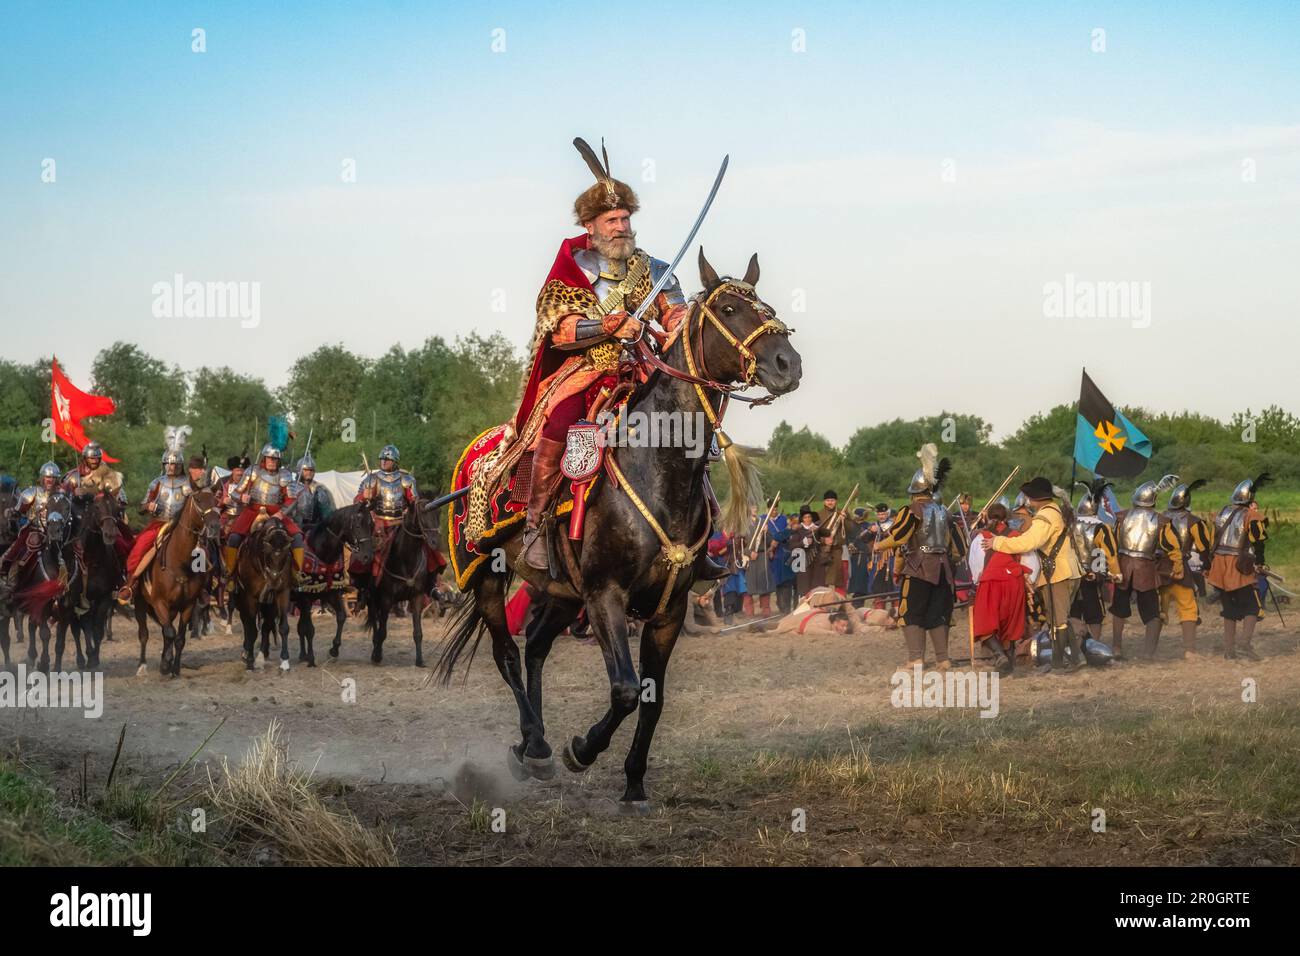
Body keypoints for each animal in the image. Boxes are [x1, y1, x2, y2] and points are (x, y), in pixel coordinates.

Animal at [133, 494, 219, 681]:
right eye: (199, 501)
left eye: (216, 501)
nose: (214, 526)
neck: (180, 563)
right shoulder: (159, 603)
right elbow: (170, 633)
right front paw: (166, 665)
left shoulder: (188, 605)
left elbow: (178, 638)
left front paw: (174, 668)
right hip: (140, 604)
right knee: (144, 634)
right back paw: (142, 665)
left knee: (166, 633)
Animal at [235, 515, 296, 671]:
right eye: (267, 551)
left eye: (286, 553)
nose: (274, 580)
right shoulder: (250, 597)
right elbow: (251, 628)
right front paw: (250, 661)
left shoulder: (283, 592)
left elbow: (283, 627)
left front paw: (284, 661)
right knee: (246, 622)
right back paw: (247, 653)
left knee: (266, 625)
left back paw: (262, 654)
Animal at [292, 504, 374, 671]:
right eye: (357, 525)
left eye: (371, 525)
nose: (367, 556)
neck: (321, 551)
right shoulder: (306, 598)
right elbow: (309, 629)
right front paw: (311, 658)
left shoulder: (331, 593)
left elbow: (341, 617)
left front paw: (334, 649)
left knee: (299, 626)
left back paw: (302, 654)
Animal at [364, 489, 444, 671]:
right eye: (422, 514)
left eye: (438, 513)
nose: (435, 542)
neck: (406, 559)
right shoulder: (386, 599)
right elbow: (383, 631)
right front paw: (377, 656)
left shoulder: (417, 597)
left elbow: (418, 632)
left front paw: (420, 660)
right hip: (372, 597)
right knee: (375, 623)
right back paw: (375, 650)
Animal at [436, 251, 800, 806]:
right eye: (730, 309)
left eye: (769, 308)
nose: (788, 364)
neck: (658, 464)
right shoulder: (605, 594)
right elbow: (626, 689)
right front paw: (582, 749)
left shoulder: (669, 608)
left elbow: (653, 697)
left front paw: (633, 782)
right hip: (486, 576)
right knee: (508, 654)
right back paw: (536, 745)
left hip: (562, 590)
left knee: (536, 646)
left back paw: (533, 748)